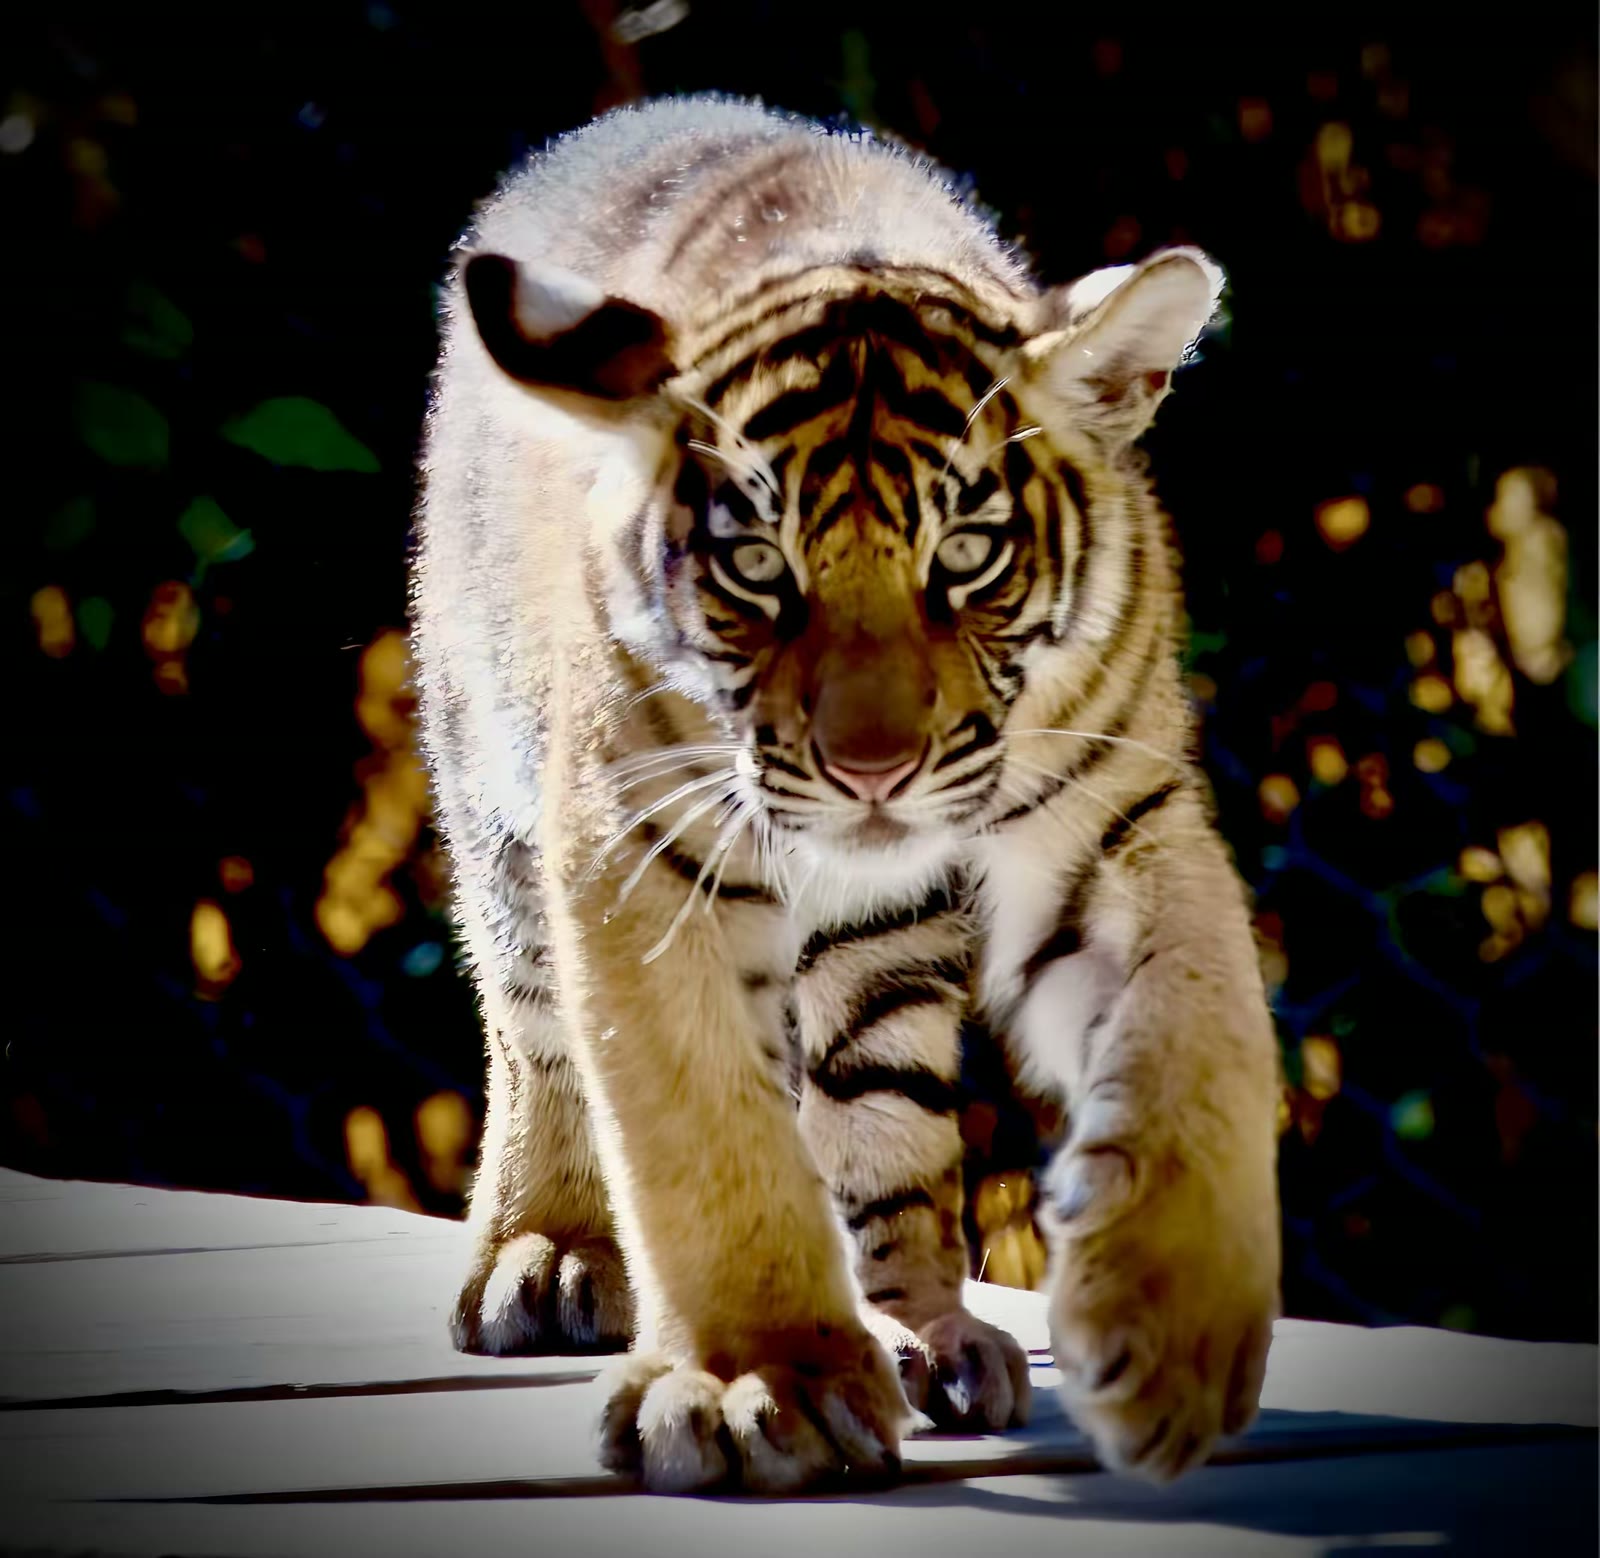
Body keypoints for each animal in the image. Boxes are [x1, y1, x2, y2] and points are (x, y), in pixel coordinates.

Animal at [412, 95, 1281, 1494]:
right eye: (757, 567)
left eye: (966, 553)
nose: (873, 768)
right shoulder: (640, 847)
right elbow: (701, 1123)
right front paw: (760, 1377)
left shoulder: (1119, 819)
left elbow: (1199, 1040)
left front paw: (1173, 1338)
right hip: (491, 791)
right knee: (535, 1029)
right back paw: (544, 1253)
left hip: (880, 940)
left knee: (882, 1102)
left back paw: (925, 1328)